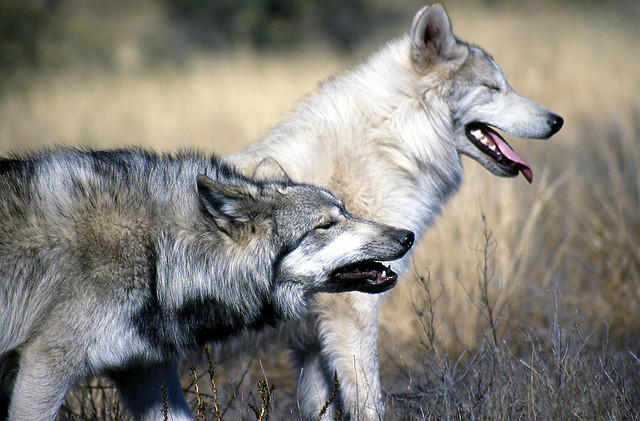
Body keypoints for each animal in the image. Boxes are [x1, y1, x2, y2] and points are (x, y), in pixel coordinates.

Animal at [0, 148, 414, 421]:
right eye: (325, 225)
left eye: (345, 211)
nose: (407, 236)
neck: (160, 253)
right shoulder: (45, 364)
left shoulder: (144, 369)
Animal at [223, 3, 564, 419]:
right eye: (492, 88)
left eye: (505, 85)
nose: (556, 121)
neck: (392, 148)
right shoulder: (353, 318)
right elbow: (371, 405)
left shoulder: (312, 344)